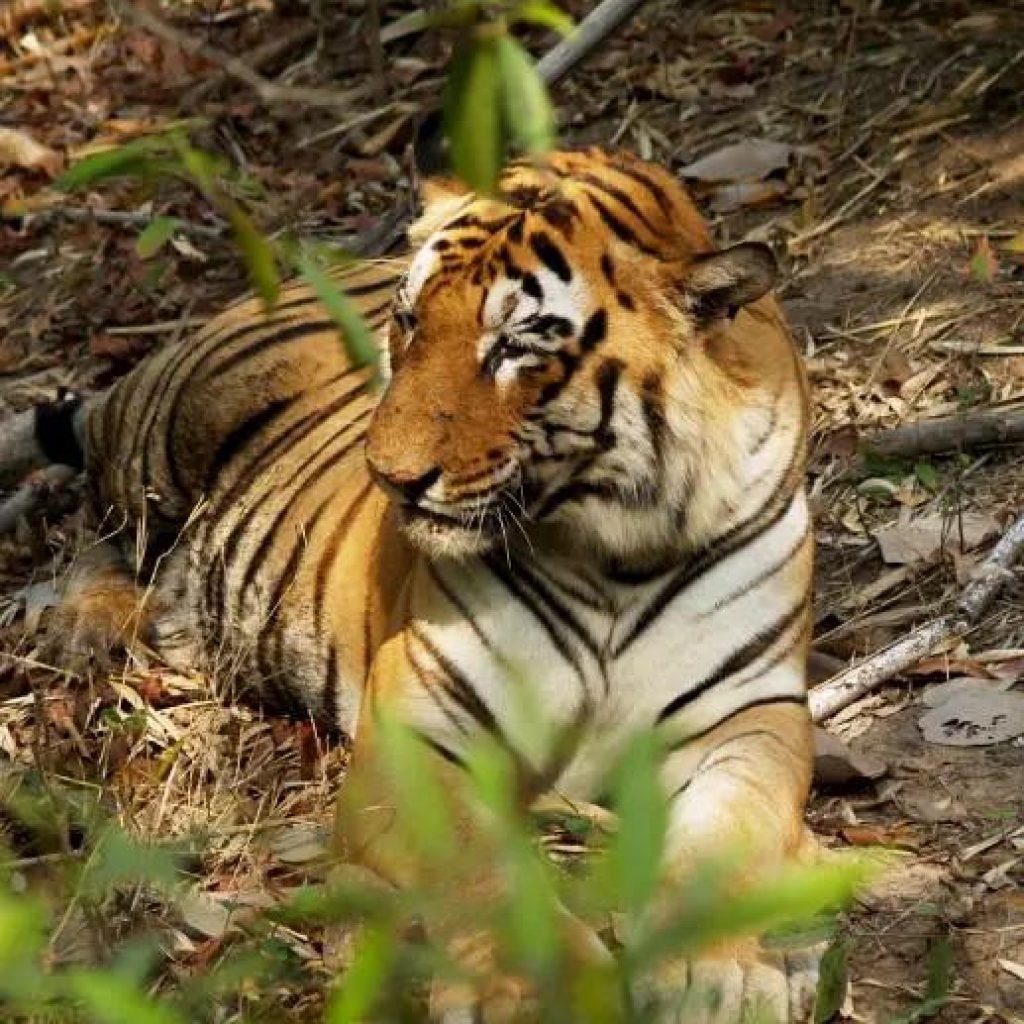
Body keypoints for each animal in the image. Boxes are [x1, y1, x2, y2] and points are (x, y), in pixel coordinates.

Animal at [18, 147, 819, 1021]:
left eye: (515, 346)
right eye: (409, 324)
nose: (390, 477)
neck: (616, 545)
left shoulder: (749, 714)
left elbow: (728, 844)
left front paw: (716, 976)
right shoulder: (416, 742)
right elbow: (485, 869)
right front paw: (540, 990)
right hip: (164, 441)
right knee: (97, 522)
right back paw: (90, 628)